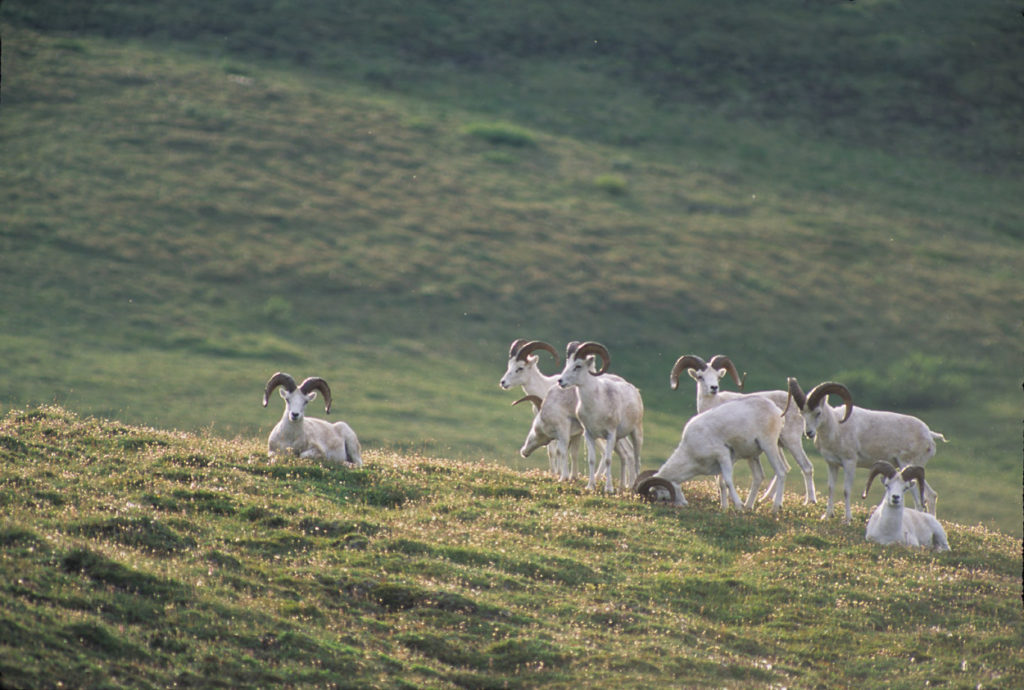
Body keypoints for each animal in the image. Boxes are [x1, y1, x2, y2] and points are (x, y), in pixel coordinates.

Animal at [557, 341, 643, 491]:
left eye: (578, 366)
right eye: (567, 363)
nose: (560, 381)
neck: (595, 405)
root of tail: (634, 390)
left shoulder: (610, 434)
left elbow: (608, 460)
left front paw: (608, 489)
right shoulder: (589, 435)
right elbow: (591, 460)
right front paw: (590, 486)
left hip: (635, 434)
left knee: (637, 460)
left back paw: (634, 488)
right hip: (618, 440)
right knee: (626, 456)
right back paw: (623, 486)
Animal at [634, 393, 786, 509]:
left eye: (659, 497)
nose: (683, 504)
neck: (690, 452)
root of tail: (775, 409)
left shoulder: (723, 454)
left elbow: (728, 481)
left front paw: (738, 506)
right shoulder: (721, 464)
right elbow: (721, 484)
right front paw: (725, 508)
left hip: (769, 446)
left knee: (781, 471)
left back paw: (775, 507)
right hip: (752, 455)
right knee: (759, 476)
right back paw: (749, 507)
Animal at [671, 352, 815, 501]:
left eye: (718, 377)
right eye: (700, 376)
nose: (714, 388)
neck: (714, 404)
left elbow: (722, 479)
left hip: (791, 441)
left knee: (806, 467)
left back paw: (809, 501)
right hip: (778, 444)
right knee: (786, 468)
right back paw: (765, 499)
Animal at [782, 376, 942, 522]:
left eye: (818, 412)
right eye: (802, 413)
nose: (808, 433)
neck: (836, 428)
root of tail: (929, 435)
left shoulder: (849, 463)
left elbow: (846, 490)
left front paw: (847, 519)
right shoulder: (832, 464)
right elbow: (831, 488)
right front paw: (826, 516)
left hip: (907, 465)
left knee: (921, 501)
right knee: (931, 495)